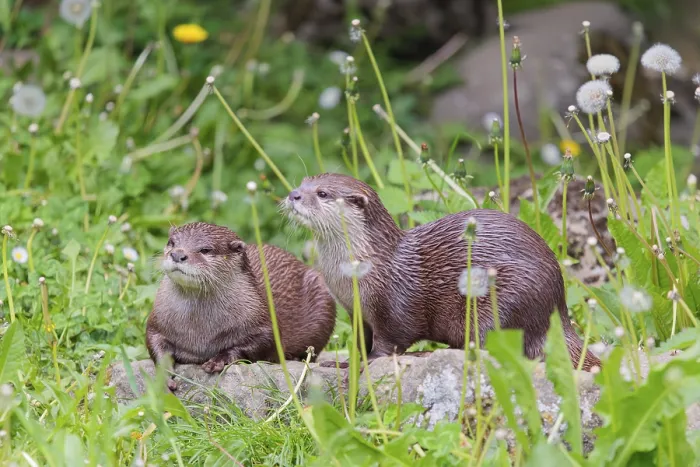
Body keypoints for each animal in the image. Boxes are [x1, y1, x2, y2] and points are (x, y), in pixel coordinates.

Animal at [146, 222, 337, 390]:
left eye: (205, 250)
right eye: (172, 242)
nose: (177, 254)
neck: (199, 333)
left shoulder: (262, 320)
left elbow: (263, 344)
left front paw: (218, 360)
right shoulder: (157, 322)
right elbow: (154, 343)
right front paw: (163, 377)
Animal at [283, 173, 601, 371]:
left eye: (322, 193)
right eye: (303, 182)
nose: (293, 195)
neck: (353, 274)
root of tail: (558, 307)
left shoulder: (392, 305)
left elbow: (389, 342)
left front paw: (366, 362)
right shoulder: (355, 310)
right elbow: (361, 341)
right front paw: (342, 361)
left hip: (508, 298)